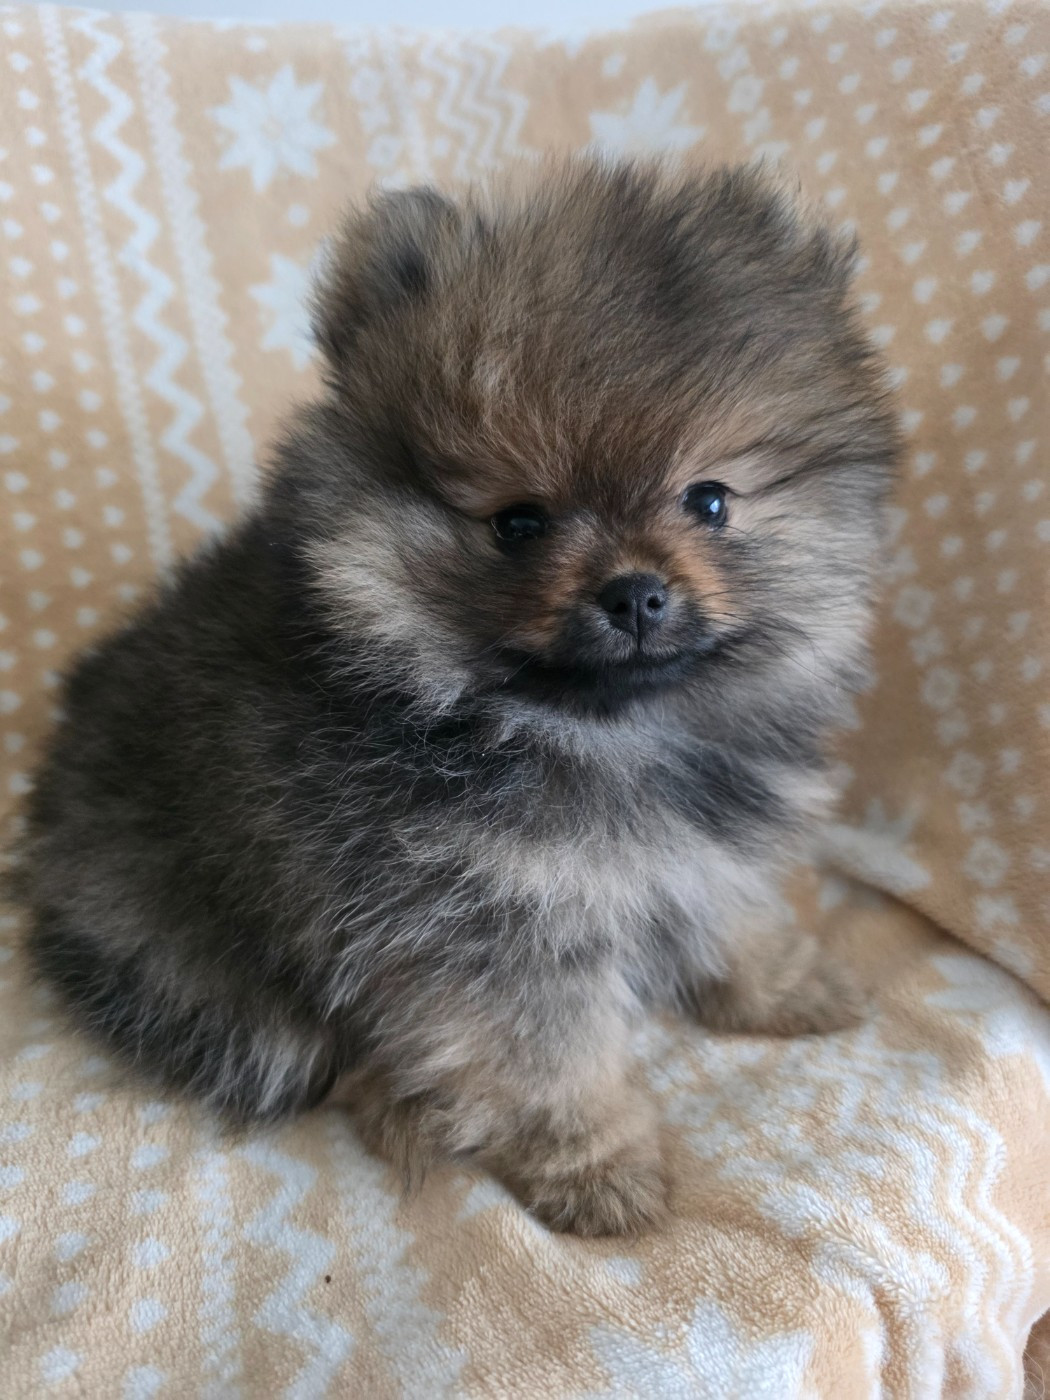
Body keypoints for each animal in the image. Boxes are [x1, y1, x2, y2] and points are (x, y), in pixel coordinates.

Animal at [17, 156, 898, 1235]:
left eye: (710, 500)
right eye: (519, 522)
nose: (634, 591)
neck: (606, 733)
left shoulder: (704, 847)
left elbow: (734, 918)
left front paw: (787, 986)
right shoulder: (484, 928)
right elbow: (547, 1060)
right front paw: (599, 1166)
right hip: (207, 979)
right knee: (311, 1053)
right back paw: (402, 1105)